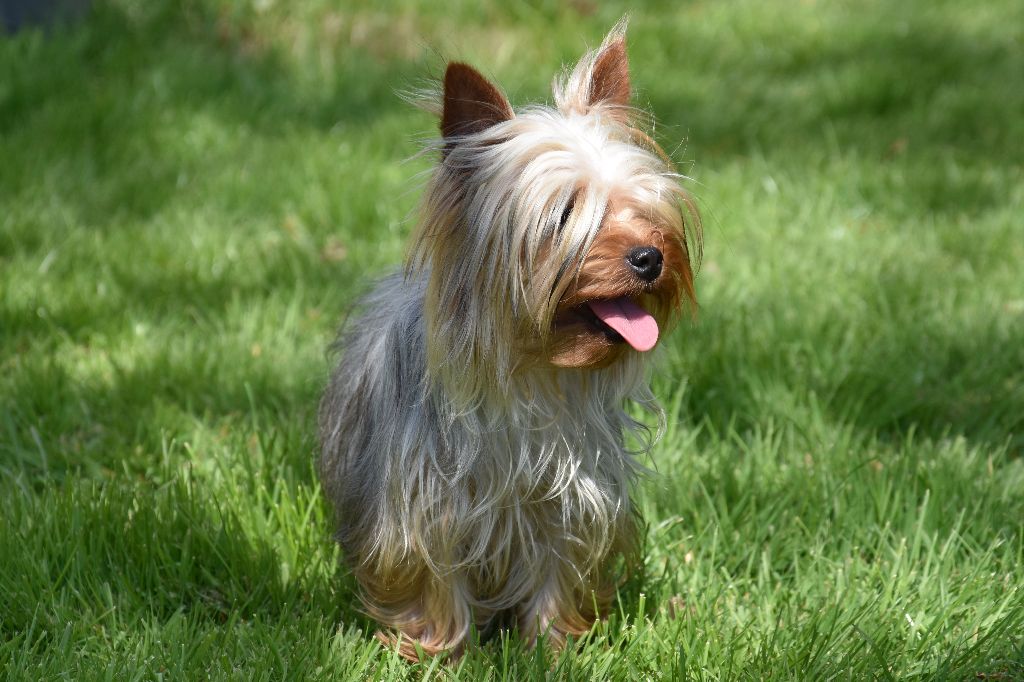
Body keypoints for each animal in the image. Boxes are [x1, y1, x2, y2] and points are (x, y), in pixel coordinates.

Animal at [319, 22, 700, 659]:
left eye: (638, 204)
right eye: (565, 214)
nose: (651, 257)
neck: (529, 374)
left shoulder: (569, 499)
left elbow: (558, 566)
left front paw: (551, 648)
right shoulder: (427, 502)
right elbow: (431, 575)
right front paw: (437, 653)